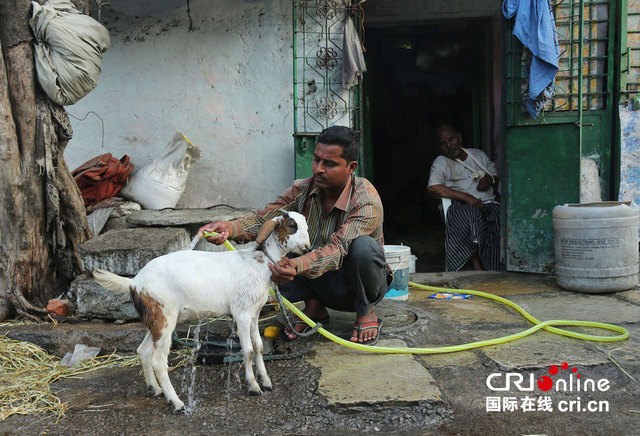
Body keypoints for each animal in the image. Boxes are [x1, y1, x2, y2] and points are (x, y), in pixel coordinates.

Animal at [91, 211, 308, 412]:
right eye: (291, 225)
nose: (307, 247)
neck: (259, 262)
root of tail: (135, 281)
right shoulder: (242, 313)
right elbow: (247, 350)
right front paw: (254, 386)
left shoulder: (253, 313)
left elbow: (259, 346)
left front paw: (266, 381)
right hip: (164, 317)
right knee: (159, 362)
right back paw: (177, 403)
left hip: (156, 318)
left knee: (143, 351)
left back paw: (156, 389)